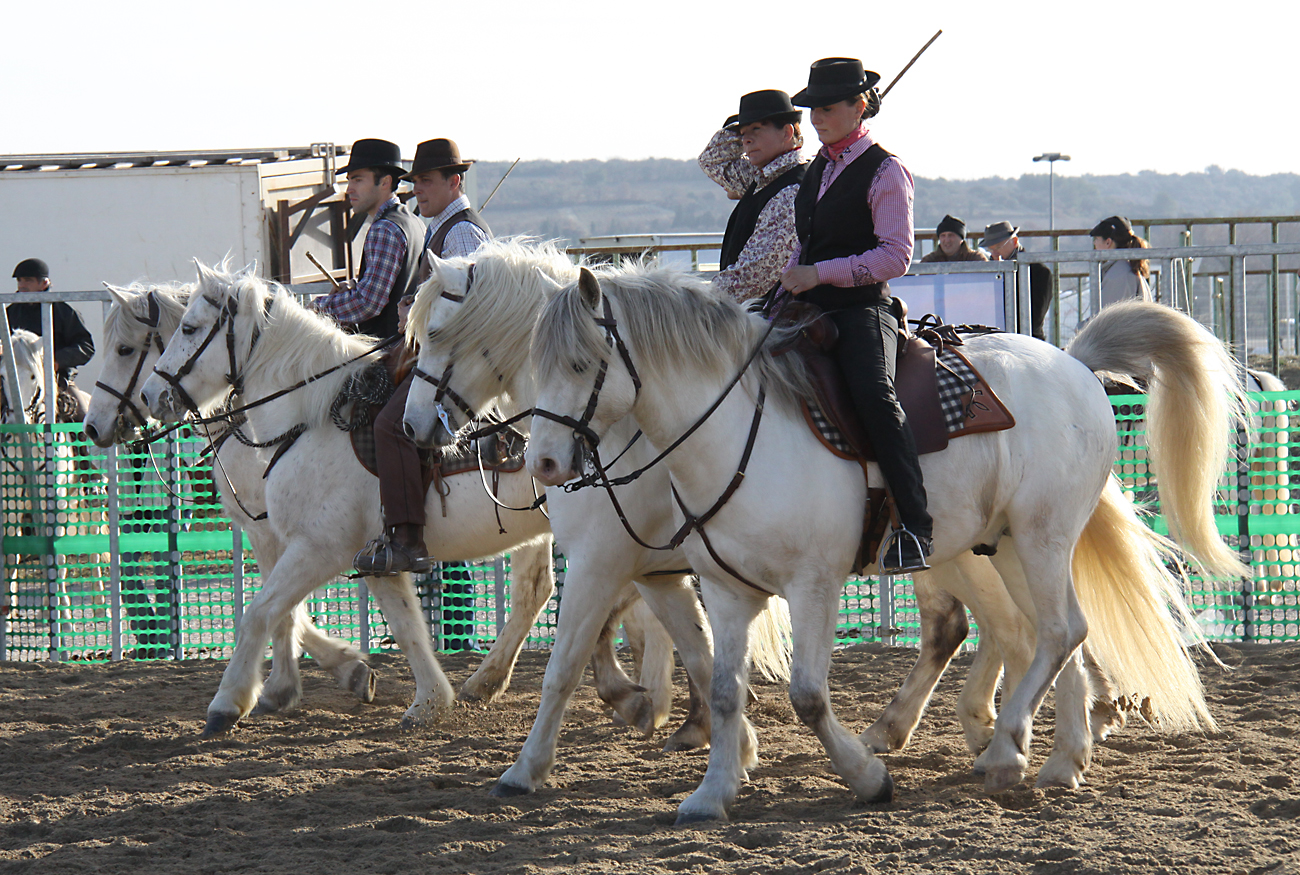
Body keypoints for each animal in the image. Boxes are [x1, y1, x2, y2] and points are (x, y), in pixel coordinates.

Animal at [135, 262, 553, 733]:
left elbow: (260, 612)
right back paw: (486, 681)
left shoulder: (314, 548)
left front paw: (229, 701)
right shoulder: (377, 558)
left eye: (189, 328)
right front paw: (428, 700)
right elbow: (405, 625)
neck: (309, 418)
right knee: (536, 591)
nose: (150, 395)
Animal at [405, 239, 790, 748]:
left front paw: (653, 703)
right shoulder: (643, 556)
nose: (410, 425)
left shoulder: (623, 551)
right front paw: (671, 708)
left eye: (433, 332)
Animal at [525, 263, 1248, 821]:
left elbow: (807, 694)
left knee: (1054, 630)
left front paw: (867, 777)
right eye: (539, 365)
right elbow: (726, 689)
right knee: (1058, 632)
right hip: (1010, 545)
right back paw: (1057, 759)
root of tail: (1074, 364)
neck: (735, 432)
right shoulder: (727, 590)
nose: (543, 463)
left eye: (582, 363)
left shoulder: (811, 585)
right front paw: (712, 792)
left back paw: (1006, 744)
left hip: (1041, 535)